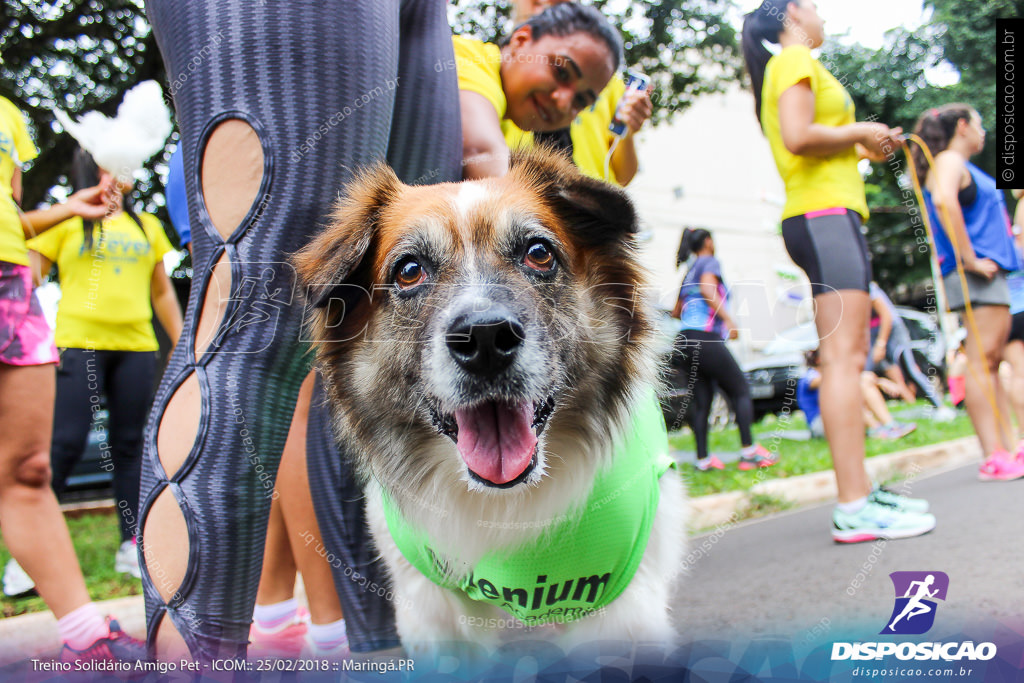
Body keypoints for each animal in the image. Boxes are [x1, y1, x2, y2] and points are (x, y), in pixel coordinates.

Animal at [292, 148, 684, 651]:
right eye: (409, 270)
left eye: (539, 253)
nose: (484, 339)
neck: (502, 503)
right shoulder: (430, 608)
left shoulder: (617, 603)